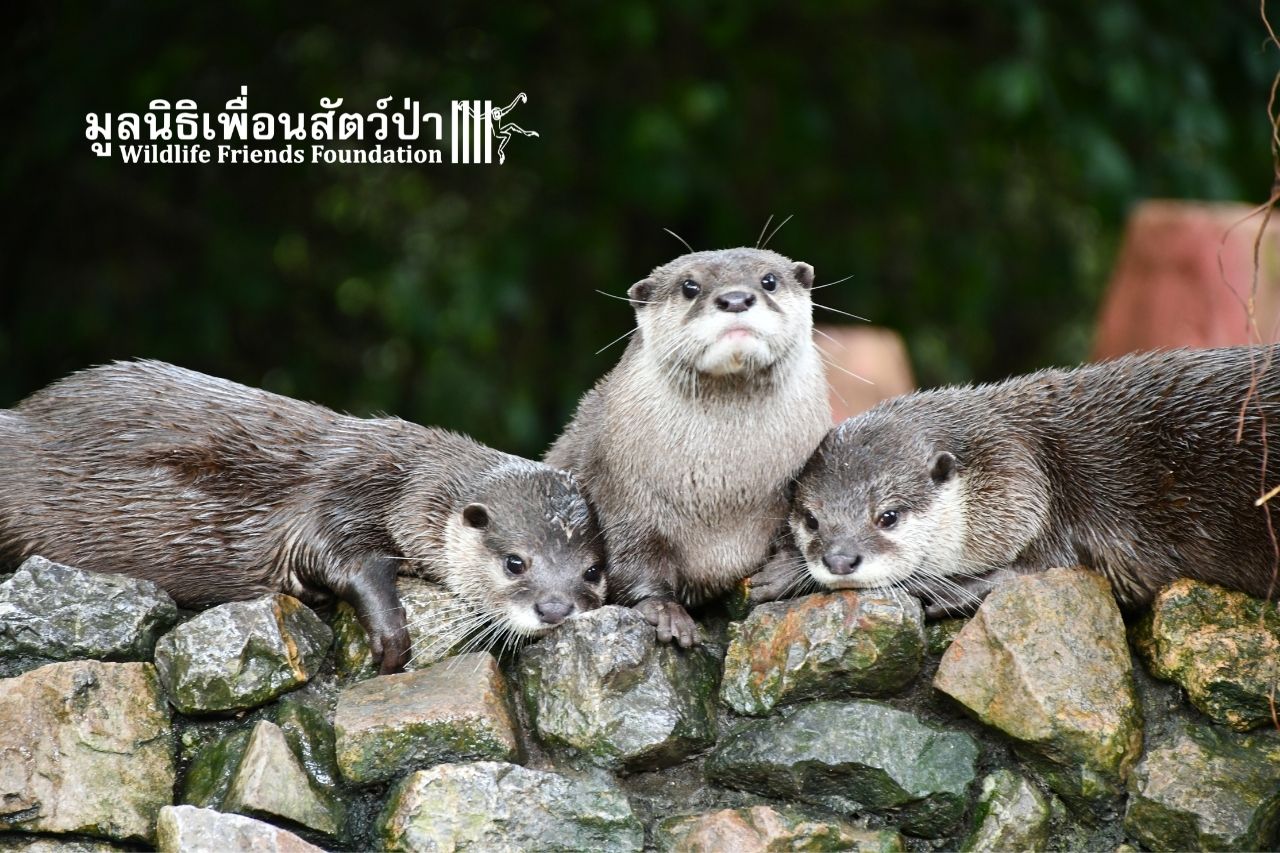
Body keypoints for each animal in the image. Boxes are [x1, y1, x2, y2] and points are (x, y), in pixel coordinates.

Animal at [0, 358, 606, 671]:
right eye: (515, 563)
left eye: (593, 572)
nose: (556, 609)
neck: (403, 480)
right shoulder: (341, 493)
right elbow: (344, 559)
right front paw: (390, 638)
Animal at [547, 245, 829, 645]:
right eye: (689, 286)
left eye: (769, 280)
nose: (735, 299)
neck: (724, 495)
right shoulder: (622, 493)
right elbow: (633, 557)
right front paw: (664, 611)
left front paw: (784, 572)